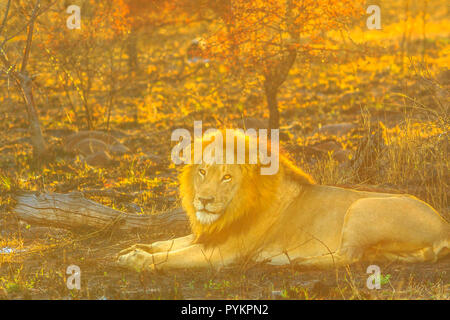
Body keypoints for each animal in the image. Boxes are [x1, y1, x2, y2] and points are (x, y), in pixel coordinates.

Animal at [117, 129, 450, 272]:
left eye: (227, 177)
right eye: (202, 171)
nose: (203, 201)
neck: (231, 211)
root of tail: (443, 229)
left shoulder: (224, 251)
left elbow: (171, 256)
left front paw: (137, 259)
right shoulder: (211, 234)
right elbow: (169, 242)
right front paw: (134, 248)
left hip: (360, 207)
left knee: (350, 257)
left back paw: (291, 261)